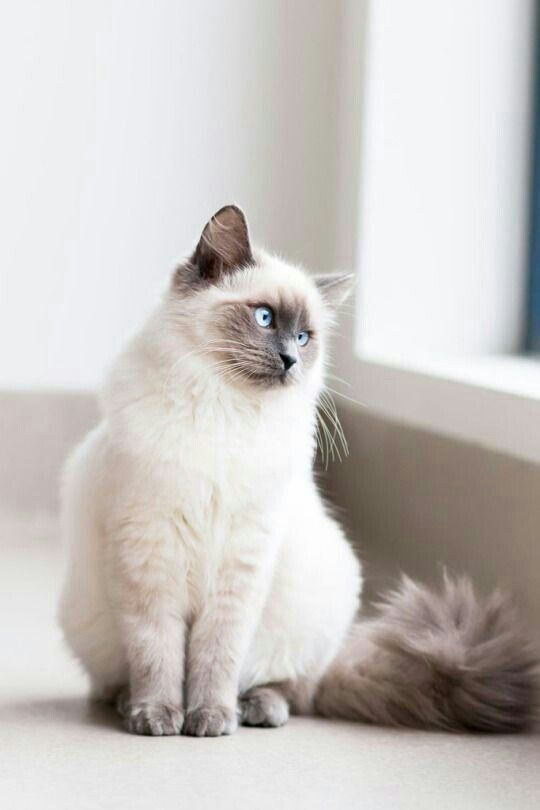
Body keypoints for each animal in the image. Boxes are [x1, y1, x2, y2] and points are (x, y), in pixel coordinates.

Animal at [57, 204, 536, 732]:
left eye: (305, 338)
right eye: (265, 319)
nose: (289, 360)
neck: (224, 410)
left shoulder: (243, 559)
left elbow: (215, 655)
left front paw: (209, 719)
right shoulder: (149, 550)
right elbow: (156, 652)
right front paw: (159, 717)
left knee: (295, 688)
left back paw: (254, 710)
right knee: (113, 679)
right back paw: (128, 703)